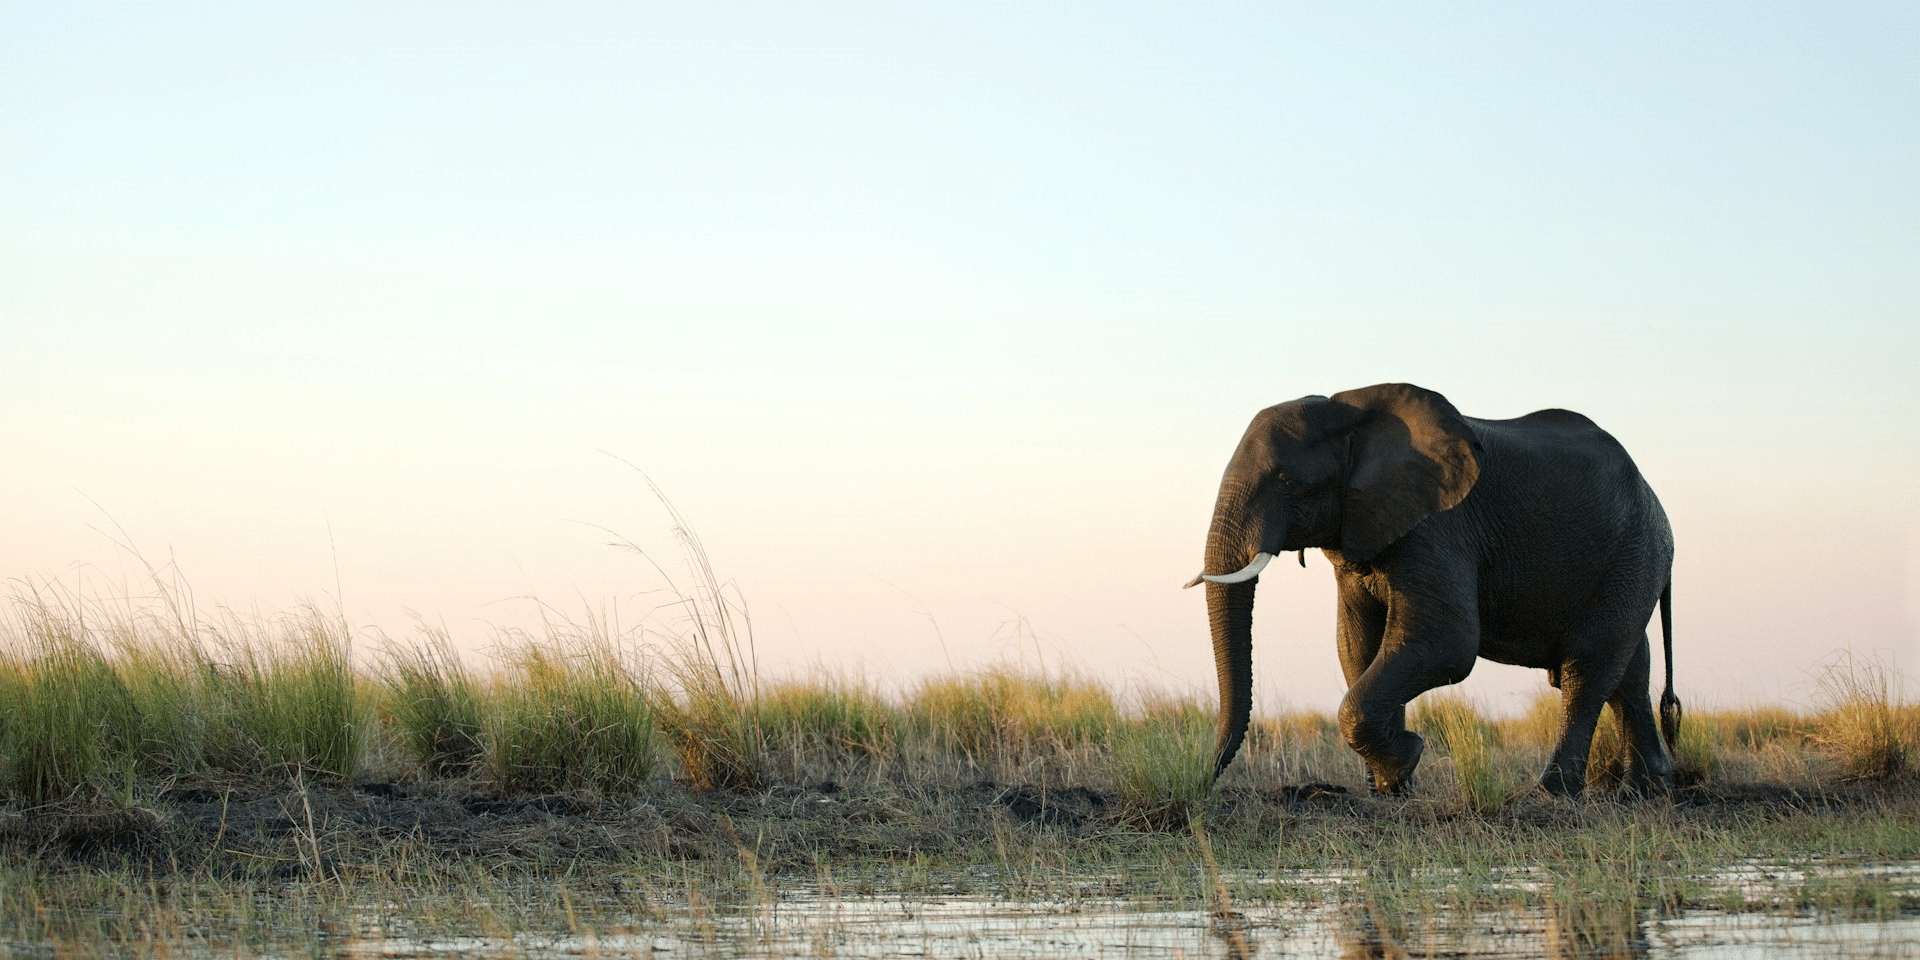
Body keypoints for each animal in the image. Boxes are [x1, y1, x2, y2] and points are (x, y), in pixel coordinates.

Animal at [1182, 382, 1681, 794]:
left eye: (1287, 481)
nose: (1205, 781)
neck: (1352, 413)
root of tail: (1655, 498)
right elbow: (1357, 645)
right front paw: (1389, 788)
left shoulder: (1439, 526)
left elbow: (1445, 641)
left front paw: (1407, 755)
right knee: (1628, 671)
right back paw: (1647, 792)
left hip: (1633, 550)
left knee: (1588, 665)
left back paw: (1552, 793)